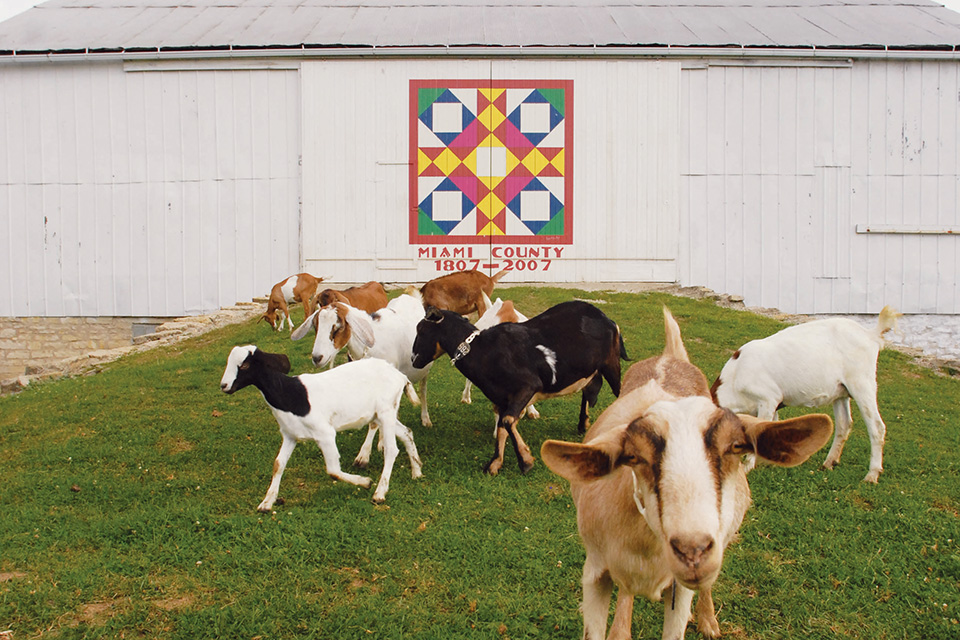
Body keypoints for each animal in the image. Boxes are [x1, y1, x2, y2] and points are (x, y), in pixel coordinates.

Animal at [223, 348, 426, 508]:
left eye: (244, 366)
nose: (224, 385)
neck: (291, 394)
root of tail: (400, 376)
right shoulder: (290, 435)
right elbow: (278, 464)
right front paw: (266, 503)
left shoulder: (325, 434)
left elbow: (333, 471)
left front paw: (366, 482)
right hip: (383, 414)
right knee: (407, 433)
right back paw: (417, 472)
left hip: (386, 410)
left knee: (391, 449)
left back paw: (380, 492)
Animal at [408, 300, 628, 476]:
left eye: (422, 330)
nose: (414, 360)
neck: (483, 350)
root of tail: (608, 319)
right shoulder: (502, 398)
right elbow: (502, 426)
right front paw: (495, 464)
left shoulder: (527, 386)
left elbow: (506, 421)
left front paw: (526, 461)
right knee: (589, 389)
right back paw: (583, 424)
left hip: (611, 363)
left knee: (621, 392)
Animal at [540, 308, 832, 636]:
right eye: (634, 457)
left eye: (736, 447)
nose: (692, 551)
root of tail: (670, 357)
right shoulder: (594, 574)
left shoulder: (680, 592)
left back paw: (708, 621)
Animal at [708, 308, 896, 482]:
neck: (734, 377)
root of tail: (870, 335)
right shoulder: (774, 405)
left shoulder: (768, 399)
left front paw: (748, 467)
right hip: (841, 391)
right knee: (844, 423)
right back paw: (829, 463)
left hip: (861, 382)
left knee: (877, 426)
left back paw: (871, 475)